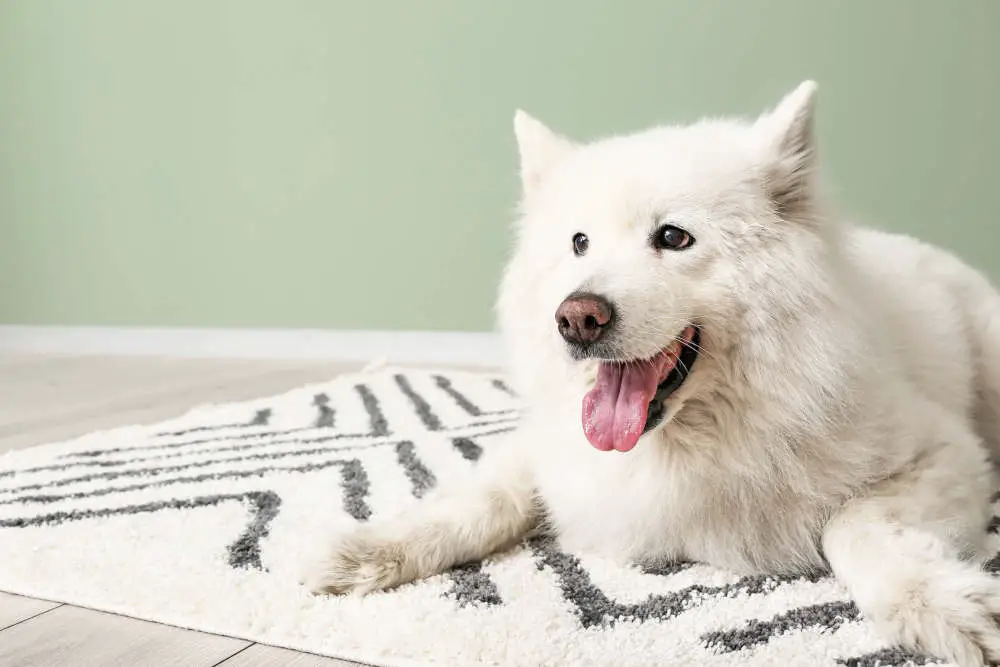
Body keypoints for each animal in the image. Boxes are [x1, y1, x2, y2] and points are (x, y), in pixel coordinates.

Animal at [312, 83, 1000, 667]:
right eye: (579, 243)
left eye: (673, 237)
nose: (577, 317)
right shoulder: (551, 452)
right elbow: (481, 498)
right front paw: (368, 551)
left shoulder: (945, 452)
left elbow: (852, 525)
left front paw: (946, 609)